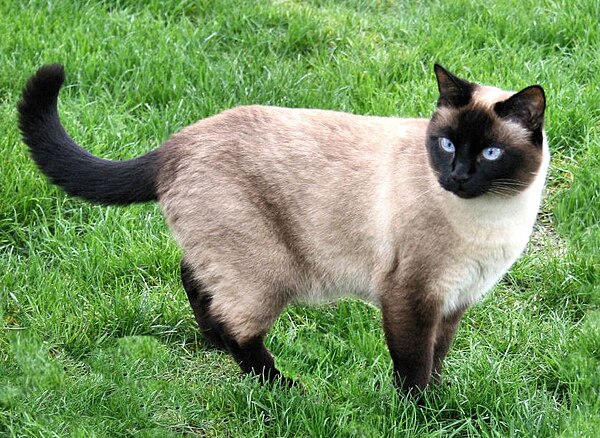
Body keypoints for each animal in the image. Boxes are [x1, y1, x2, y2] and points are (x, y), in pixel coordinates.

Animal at [16, 64, 548, 394]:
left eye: (490, 153)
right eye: (446, 144)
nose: (456, 177)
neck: (494, 217)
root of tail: (174, 144)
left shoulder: (455, 301)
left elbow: (437, 359)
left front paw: (440, 401)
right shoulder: (412, 297)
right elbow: (413, 366)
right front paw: (420, 416)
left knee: (193, 277)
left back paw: (213, 341)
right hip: (266, 273)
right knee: (239, 329)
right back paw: (285, 388)